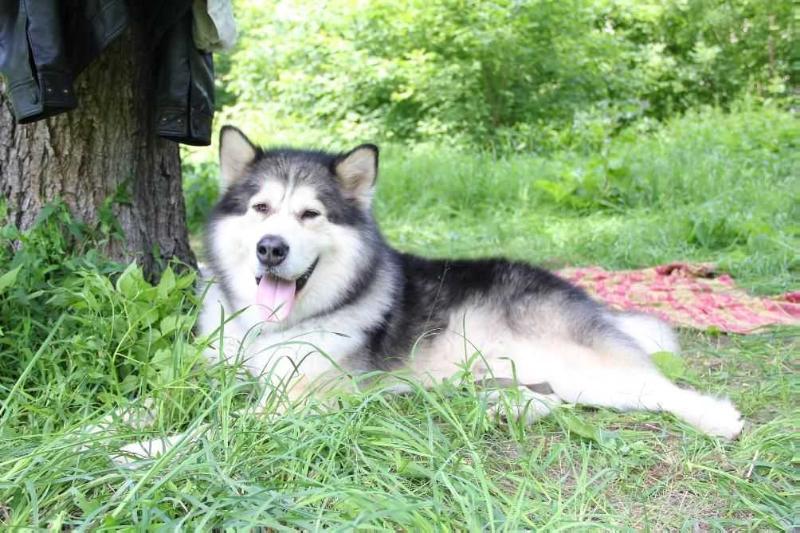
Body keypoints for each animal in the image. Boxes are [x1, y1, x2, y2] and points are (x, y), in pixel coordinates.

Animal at [114, 125, 744, 462]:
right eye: (261, 208)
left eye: (311, 214)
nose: (271, 248)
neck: (274, 329)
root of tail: (565, 284)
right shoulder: (213, 367)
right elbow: (154, 399)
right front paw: (108, 426)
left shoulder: (301, 402)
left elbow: (216, 425)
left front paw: (144, 451)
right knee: (556, 398)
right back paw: (509, 408)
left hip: (576, 361)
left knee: (657, 388)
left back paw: (718, 418)